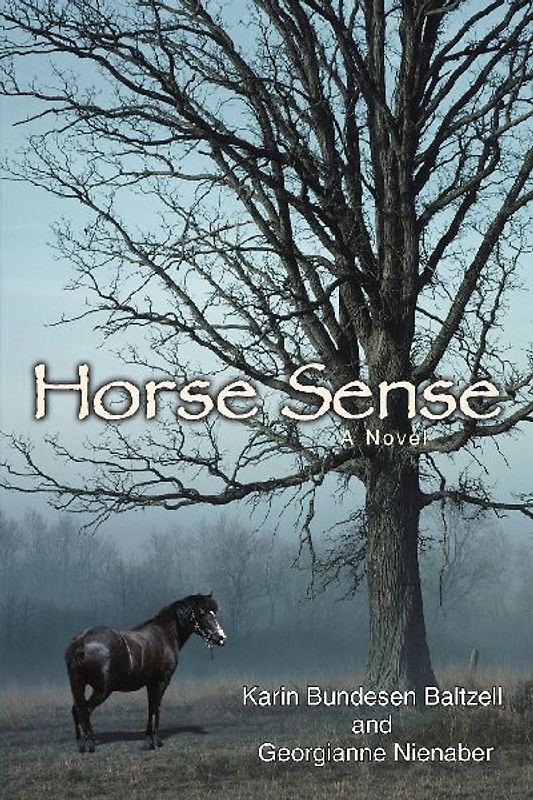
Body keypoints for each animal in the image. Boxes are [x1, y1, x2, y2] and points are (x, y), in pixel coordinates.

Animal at [65, 593, 226, 752]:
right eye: (202, 613)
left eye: (214, 612)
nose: (221, 638)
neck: (165, 634)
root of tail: (81, 643)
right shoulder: (161, 682)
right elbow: (156, 708)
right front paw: (156, 741)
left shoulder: (150, 684)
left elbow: (150, 708)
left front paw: (149, 738)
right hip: (102, 689)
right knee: (84, 710)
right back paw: (90, 743)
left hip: (79, 685)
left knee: (76, 710)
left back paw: (81, 744)